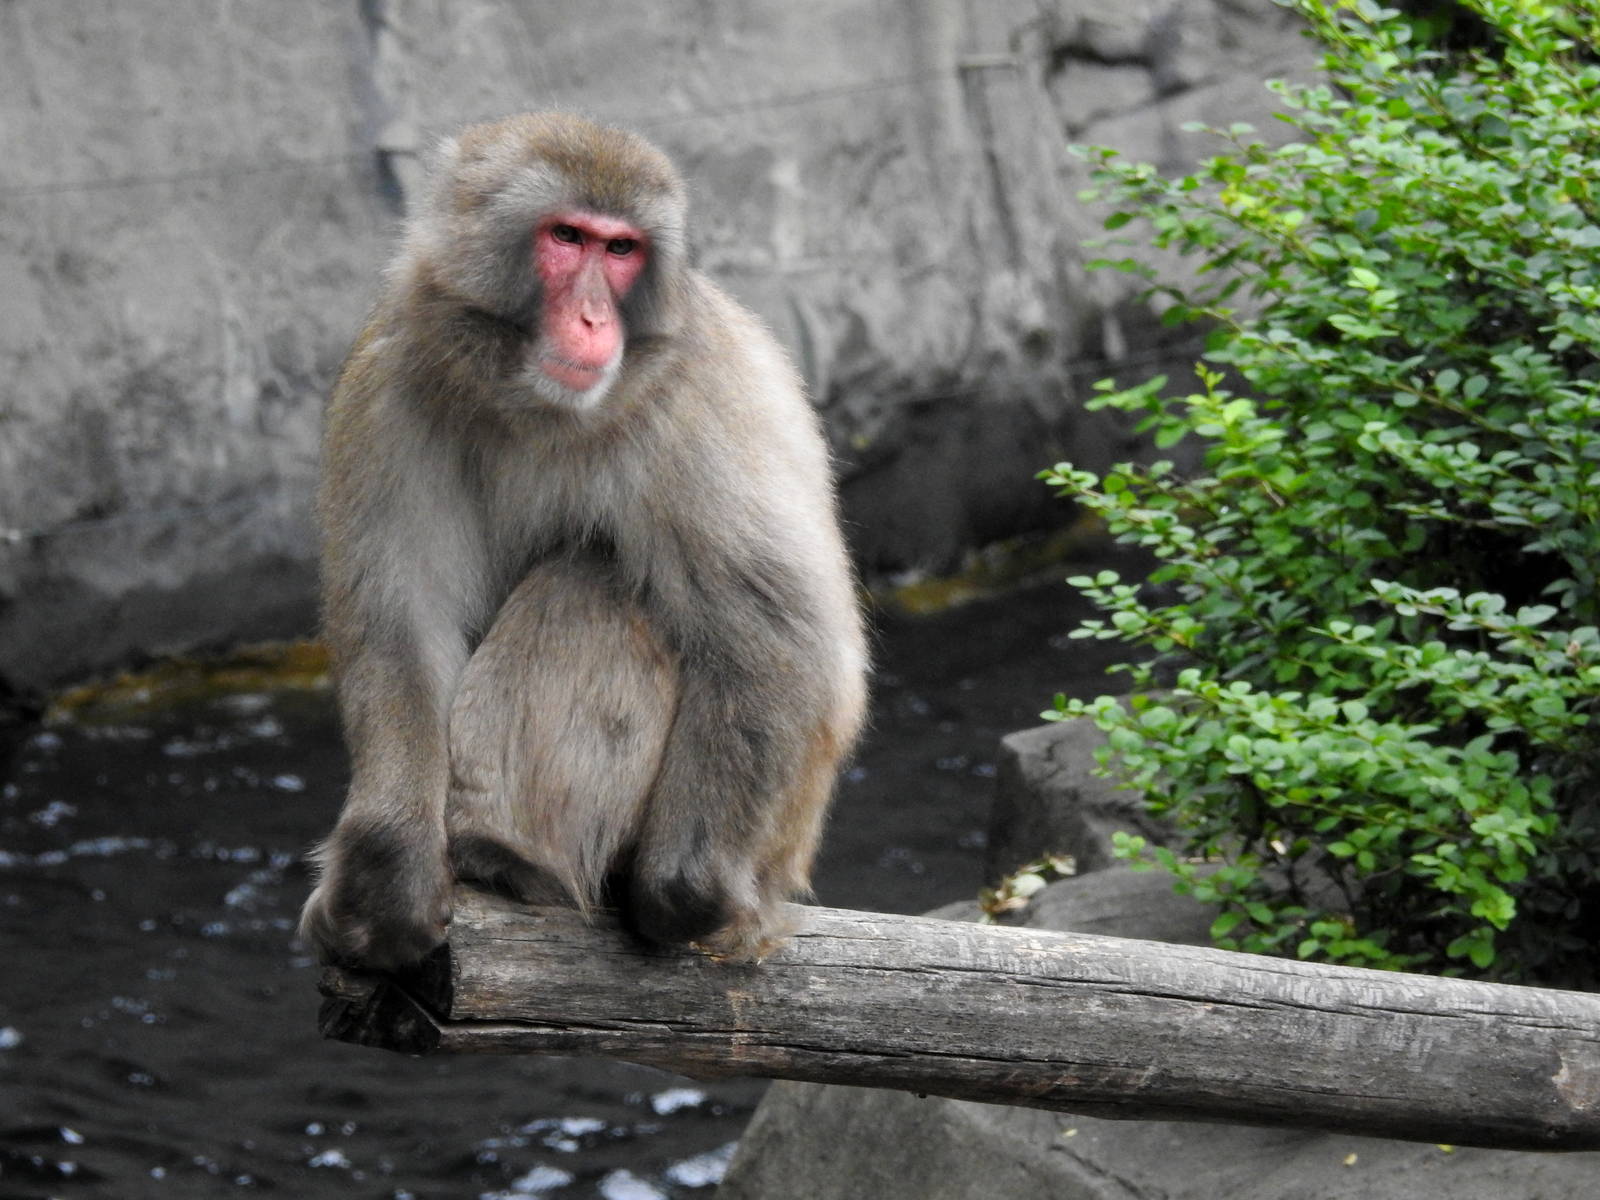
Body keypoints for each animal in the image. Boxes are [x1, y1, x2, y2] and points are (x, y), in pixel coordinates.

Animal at [298, 112, 869, 969]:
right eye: (567, 237)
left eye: (622, 249)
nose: (596, 319)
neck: (535, 405)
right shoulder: (390, 377)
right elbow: (400, 627)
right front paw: (387, 876)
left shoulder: (697, 398)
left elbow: (776, 633)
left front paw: (683, 891)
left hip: (774, 850)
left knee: (593, 578)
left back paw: (510, 856)